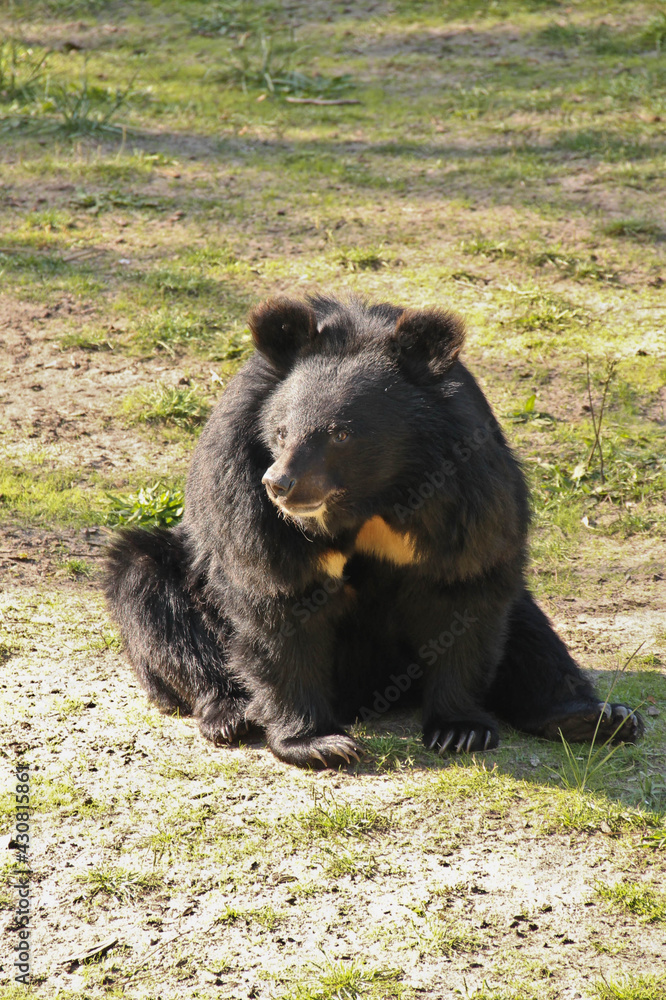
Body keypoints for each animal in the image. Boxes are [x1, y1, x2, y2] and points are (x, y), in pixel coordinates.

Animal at [105, 294, 644, 764]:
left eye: (341, 434)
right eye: (280, 432)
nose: (280, 484)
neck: (374, 498)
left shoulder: (470, 494)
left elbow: (465, 592)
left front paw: (460, 730)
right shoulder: (245, 495)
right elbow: (276, 595)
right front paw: (319, 744)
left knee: (531, 631)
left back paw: (598, 718)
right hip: (169, 582)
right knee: (154, 599)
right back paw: (230, 714)